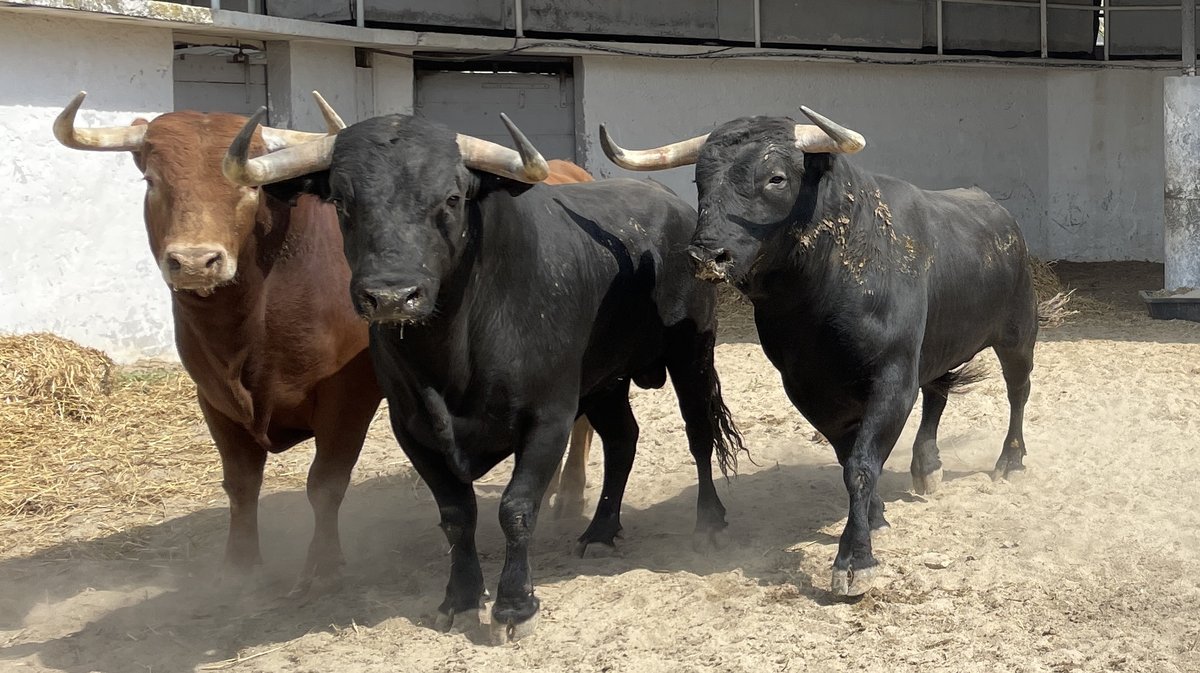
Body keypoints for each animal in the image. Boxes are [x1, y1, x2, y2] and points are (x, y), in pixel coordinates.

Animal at [55, 91, 595, 590]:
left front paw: (323, 564)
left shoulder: (348, 395)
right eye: (152, 181)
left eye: (252, 190)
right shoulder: (214, 399)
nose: (194, 261)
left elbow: (326, 482)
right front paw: (240, 565)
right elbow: (241, 483)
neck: (254, 321)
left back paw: (568, 496)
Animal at [219, 107, 739, 638]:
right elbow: (456, 515)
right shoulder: (414, 429)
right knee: (622, 439)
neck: (454, 357)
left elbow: (517, 507)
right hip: (604, 382)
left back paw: (709, 522)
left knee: (699, 432)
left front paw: (514, 605)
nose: (391, 296)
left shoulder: (548, 417)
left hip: (691, 354)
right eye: (343, 201)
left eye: (451, 197)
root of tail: (669, 207)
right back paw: (600, 530)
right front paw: (462, 597)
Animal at [604, 111, 1046, 597]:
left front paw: (855, 560)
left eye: (776, 178)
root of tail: (1001, 217)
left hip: (1017, 335)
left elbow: (862, 463)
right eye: (699, 180)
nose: (706, 256)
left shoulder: (893, 377)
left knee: (1018, 391)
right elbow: (848, 455)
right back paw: (927, 466)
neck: (820, 293)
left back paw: (1009, 461)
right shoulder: (807, 387)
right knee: (938, 393)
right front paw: (875, 515)